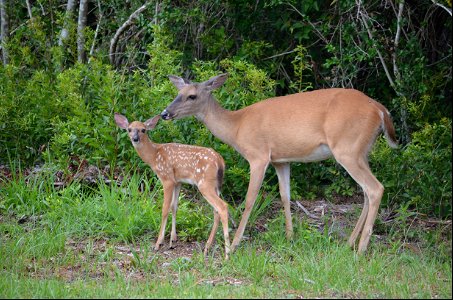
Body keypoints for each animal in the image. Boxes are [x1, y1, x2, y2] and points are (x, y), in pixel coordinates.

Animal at [114, 113, 230, 258]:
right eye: (129, 129)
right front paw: (172, 241)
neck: (153, 156)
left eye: (143, 130)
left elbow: (164, 208)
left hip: (205, 184)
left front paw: (158, 243)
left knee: (223, 206)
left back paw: (227, 254)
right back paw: (207, 247)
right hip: (216, 185)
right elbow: (174, 206)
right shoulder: (178, 181)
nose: (135, 139)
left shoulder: (167, 178)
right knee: (216, 210)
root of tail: (220, 161)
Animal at [161, 74, 398, 254]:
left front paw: (236, 243)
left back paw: (361, 249)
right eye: (177, 93)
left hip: (347, 149)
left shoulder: (258, 156)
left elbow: (250, 199)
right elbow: (285, 196)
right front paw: (290, 237)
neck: (237, 127)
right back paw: (349, 243)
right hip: (361, 152)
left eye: (191, 96)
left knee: (375, 188)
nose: (165, 113)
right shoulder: (281, 161)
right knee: (366, 191)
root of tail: (380, 110)